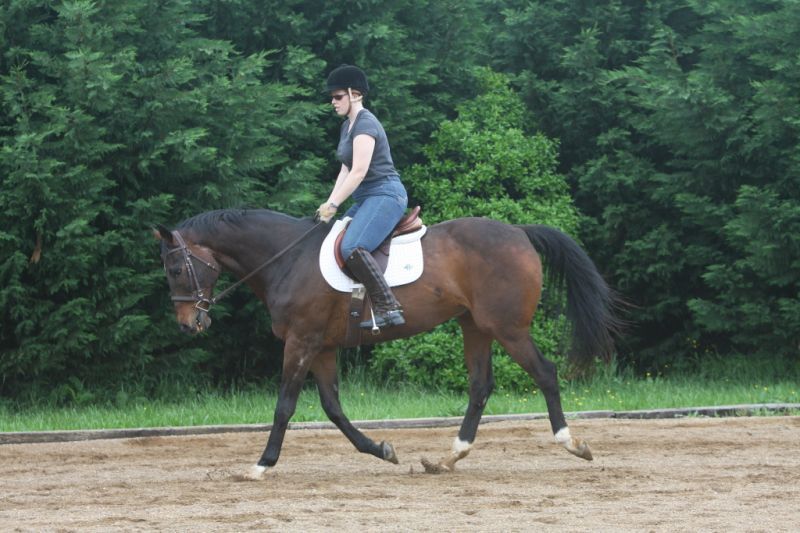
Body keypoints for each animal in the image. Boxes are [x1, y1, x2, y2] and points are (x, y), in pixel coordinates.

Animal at [155, 208, 620, 479]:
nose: (188, 325)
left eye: (176, 269)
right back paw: (447, 459)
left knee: (545, 374)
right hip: (475, 327)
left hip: (508, 328)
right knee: (480, 387)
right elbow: (333, 408)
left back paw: (572, 444)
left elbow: (285, 405)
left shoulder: (301, 342)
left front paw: (260, 464)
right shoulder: (322, 347)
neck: (286, 259)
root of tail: (519, 232)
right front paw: (380, 449)